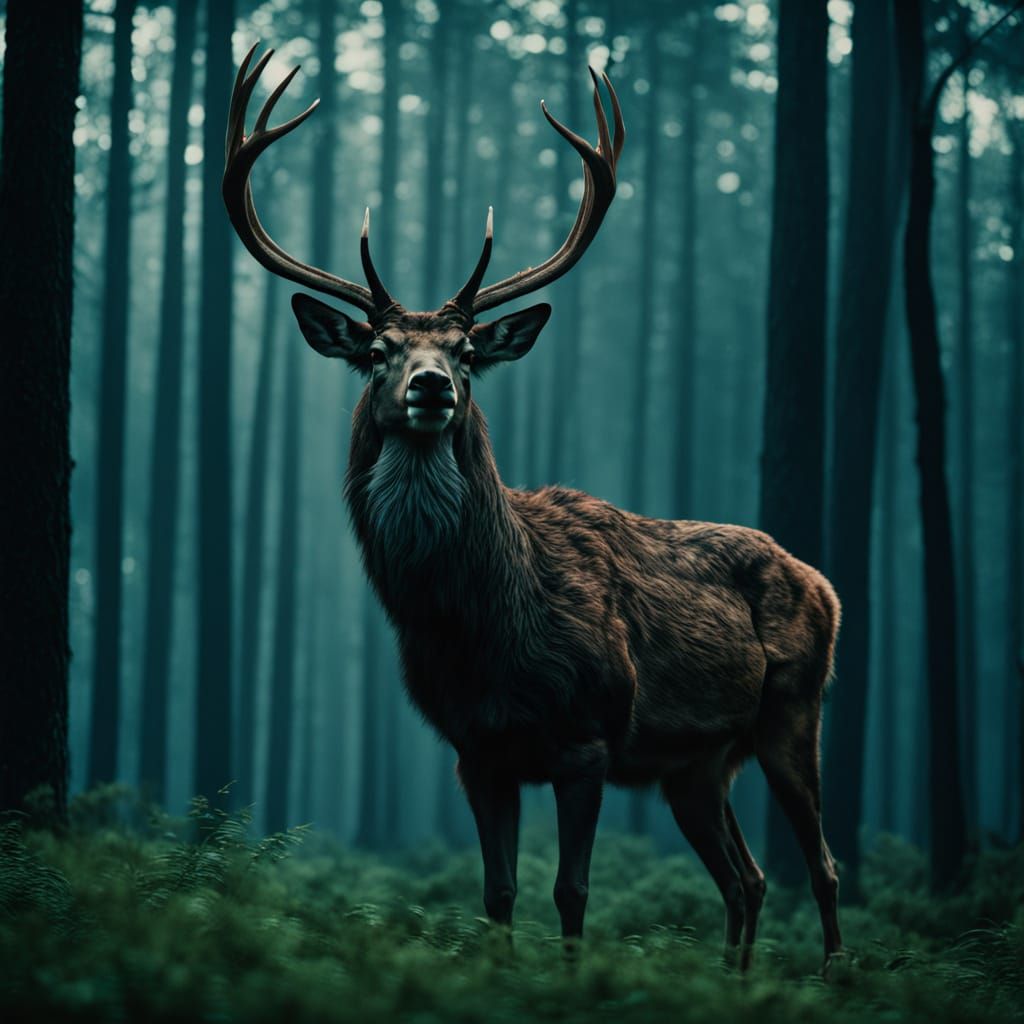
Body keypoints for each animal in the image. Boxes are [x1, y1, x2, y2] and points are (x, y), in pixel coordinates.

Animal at [223, 44, 843, 970]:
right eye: (379, 350)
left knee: (822, 865)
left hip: (794, 710)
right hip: (694, 764)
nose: (432, 386)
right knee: (749, 877)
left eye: (466, 350)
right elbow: (498, 894)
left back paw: (835, 972)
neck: (482, 627)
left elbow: (571, 892)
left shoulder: (586, 737)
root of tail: (825, 584)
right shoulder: (476, 749)